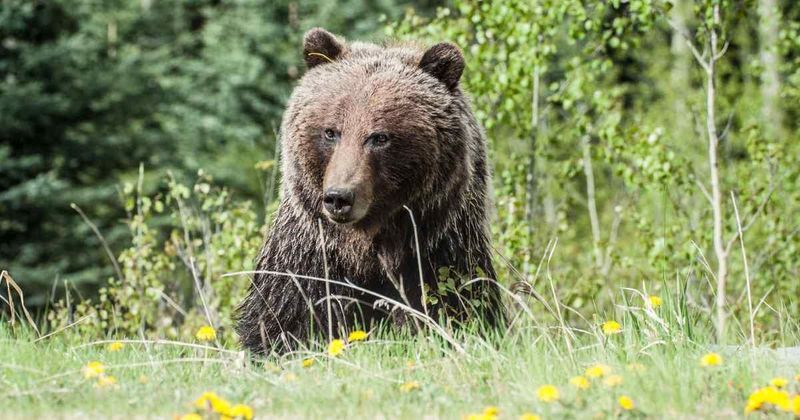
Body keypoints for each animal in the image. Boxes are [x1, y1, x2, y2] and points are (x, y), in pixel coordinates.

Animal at [236, 28, 502, 354]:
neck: (366, 248)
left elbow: (455, 307)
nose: (339, 197)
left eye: (379, 137)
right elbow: (284, 320)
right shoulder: (308, 259)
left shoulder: (439, 252)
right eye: (330, 132)